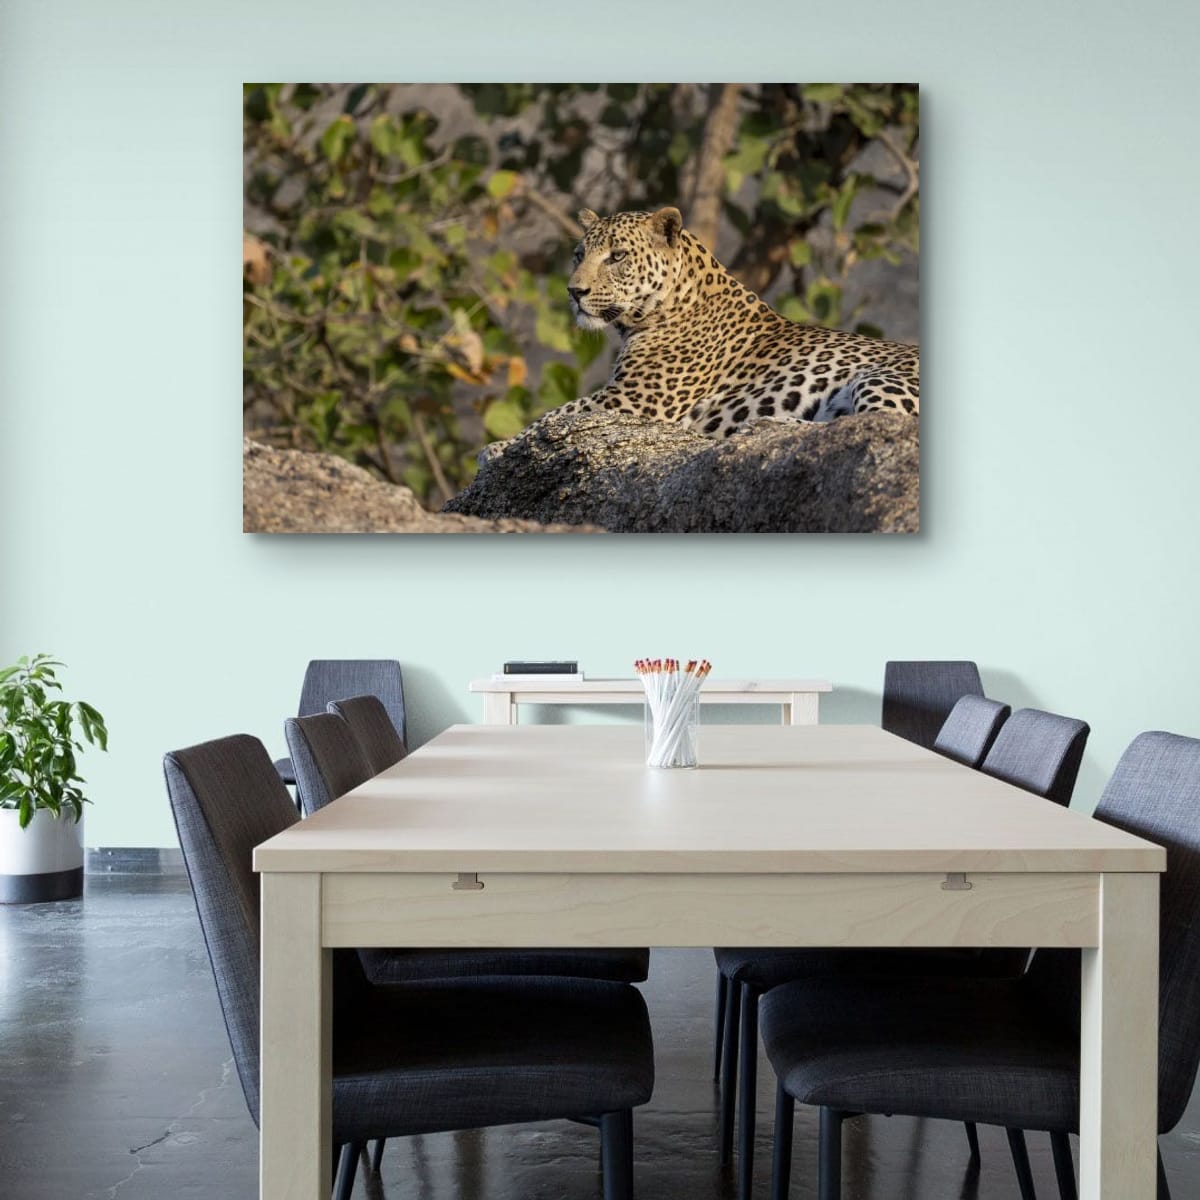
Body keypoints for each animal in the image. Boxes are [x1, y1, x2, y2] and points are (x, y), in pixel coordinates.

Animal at [504, 205, 918, 446]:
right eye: (579, 255)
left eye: (617, 256)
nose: (575, 291)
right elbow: (554, 416)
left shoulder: (632, 400)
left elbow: (552, 416)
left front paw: (501, 447)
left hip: (881, 378)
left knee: (880, 423)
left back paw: (769, 426)